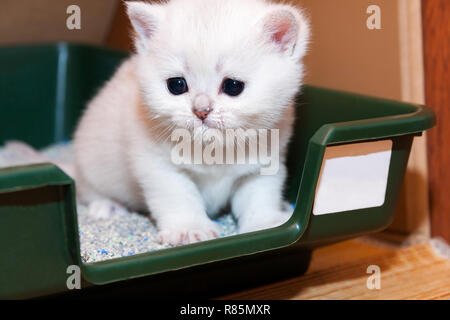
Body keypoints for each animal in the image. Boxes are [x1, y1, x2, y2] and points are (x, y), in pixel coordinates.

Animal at [73, 0, 310, 245]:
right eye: (177, 85)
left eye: (233, 86)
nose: (201, 110)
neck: (215, 150)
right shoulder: (158, 166)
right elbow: (179, 197)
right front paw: (189, 229)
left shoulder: (265, 163)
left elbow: (260, 196)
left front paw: (265, 223)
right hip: (90, 162)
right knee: (89, 190)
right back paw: (107, 205)